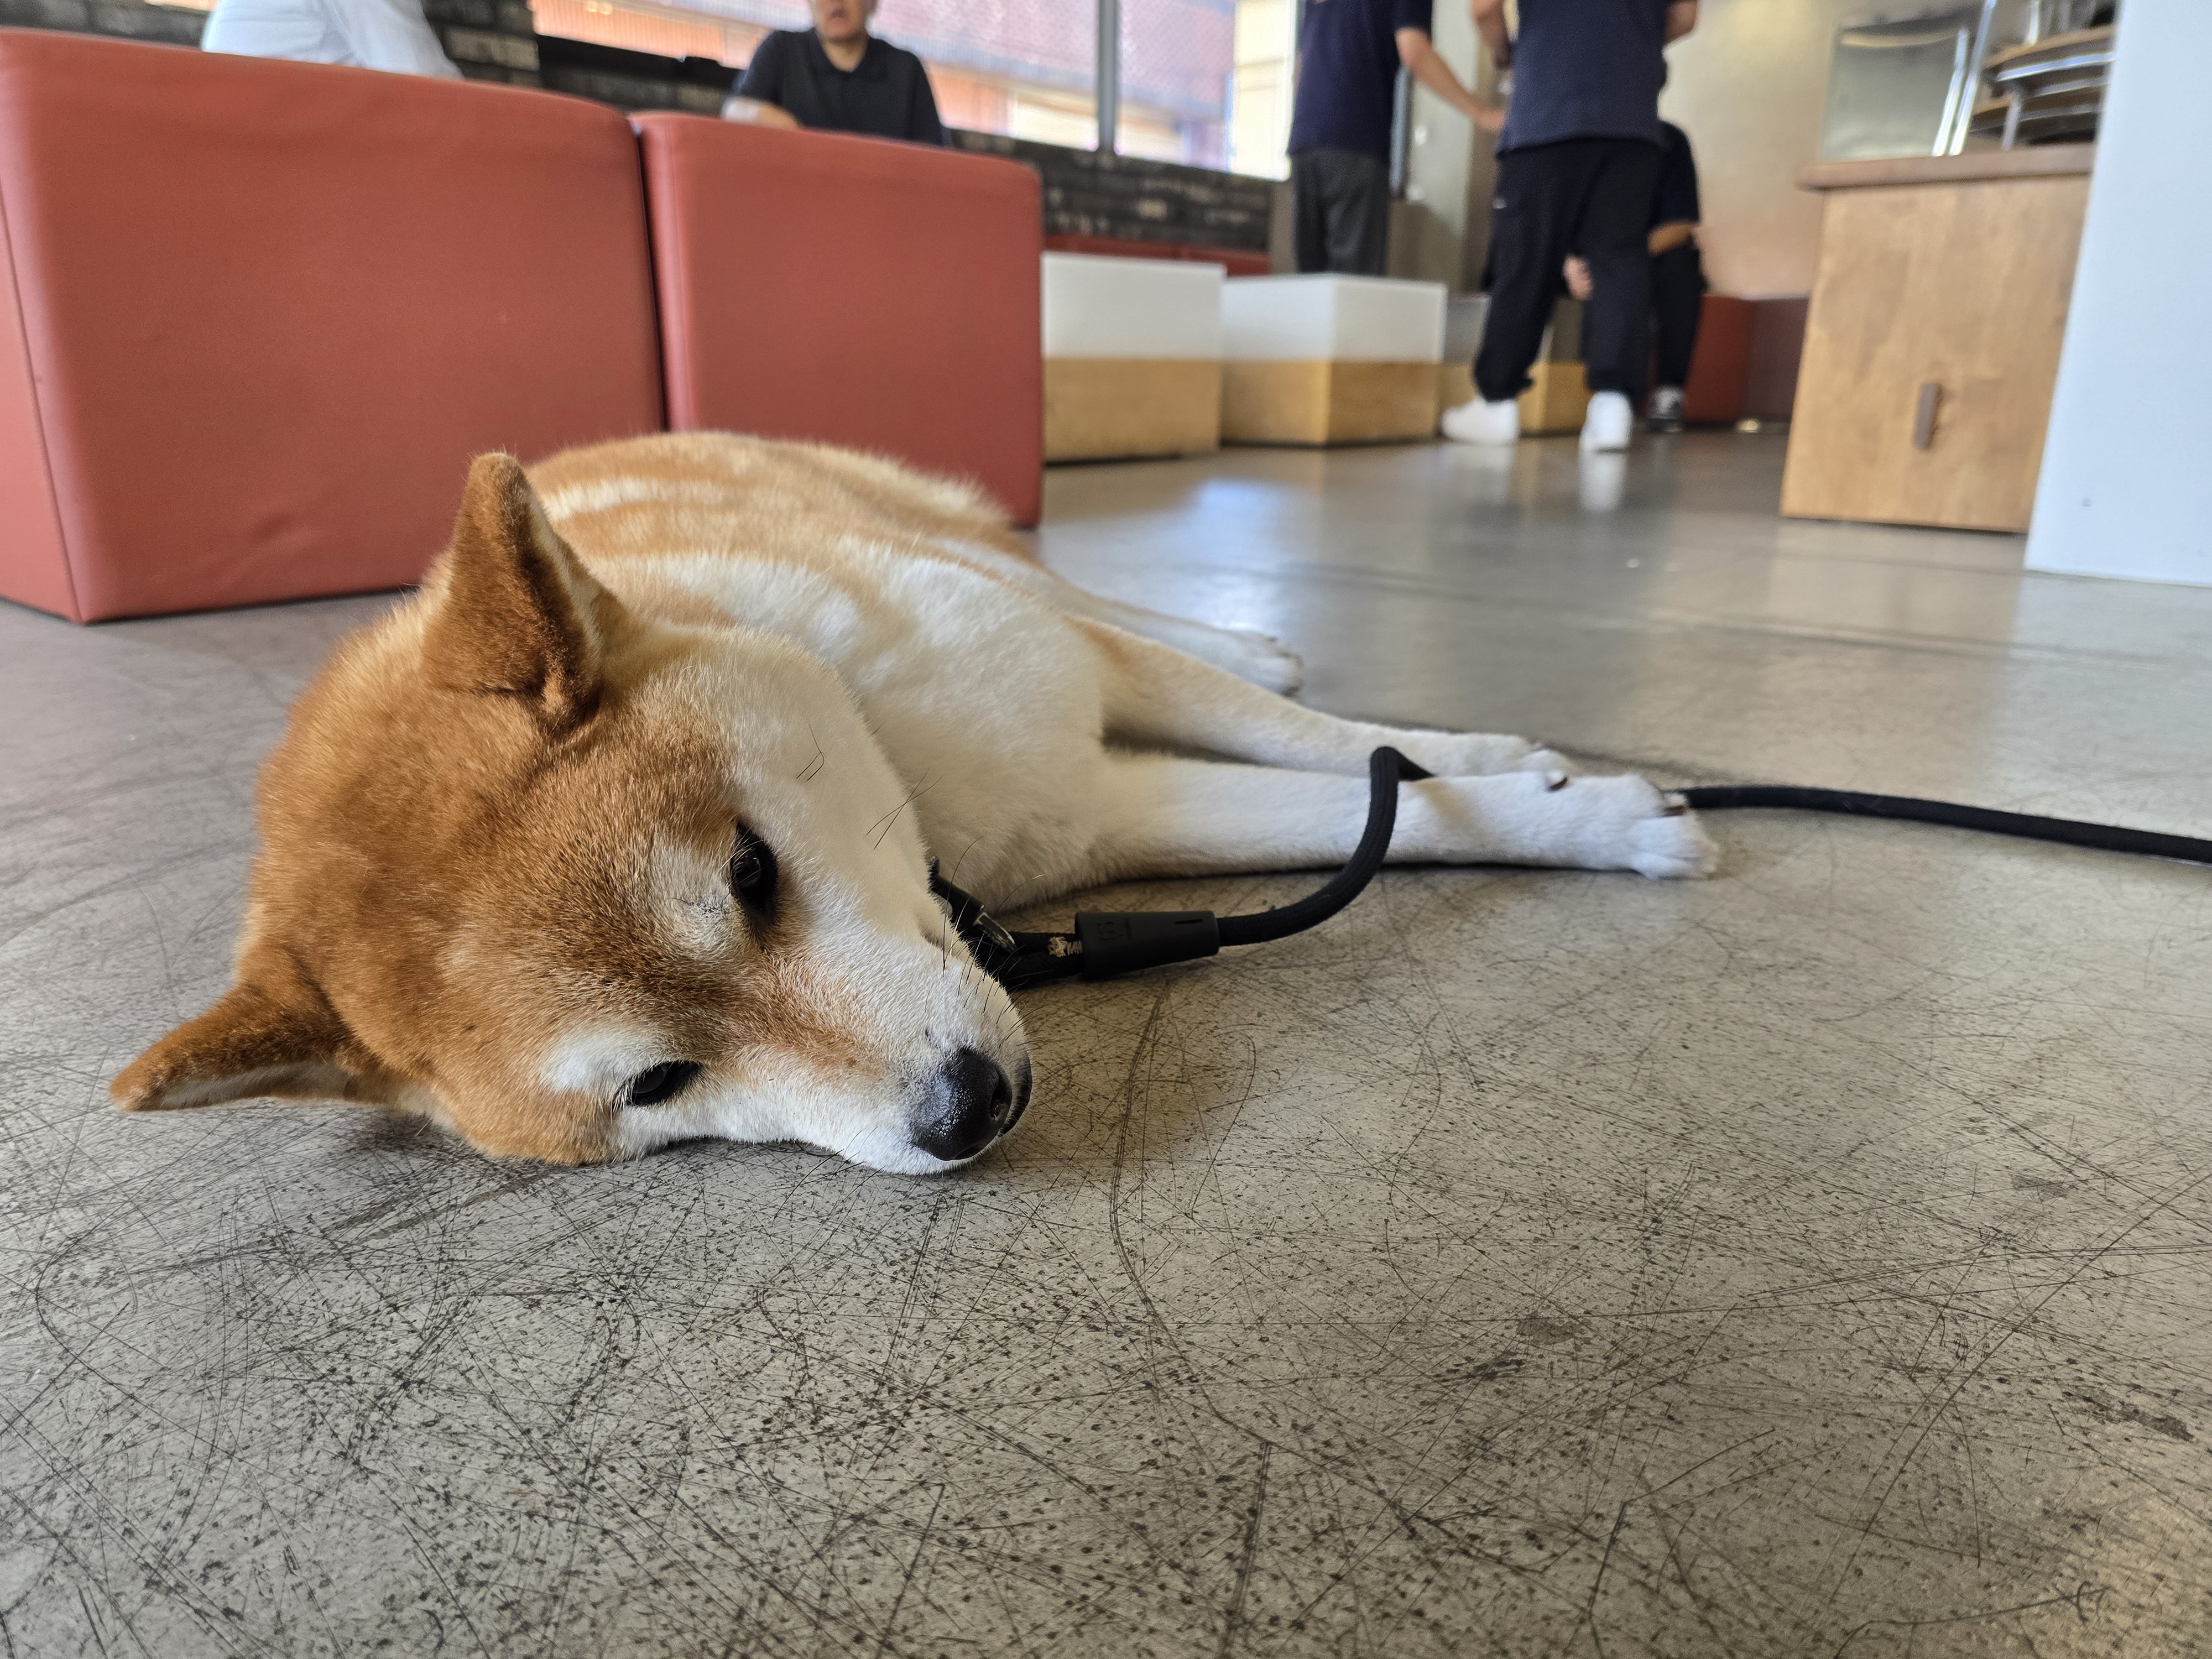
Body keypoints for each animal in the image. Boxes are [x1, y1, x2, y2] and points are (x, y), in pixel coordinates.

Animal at [112, 434, 1716, 1171]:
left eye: (749, 872)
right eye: (656, 1084)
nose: (966, 1108)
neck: (920, 786)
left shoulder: (1064, 686)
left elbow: (1369, 760)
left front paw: (1550, 782)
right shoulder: (1098, 811)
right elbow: (1368, 809)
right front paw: (1558, 803)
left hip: (976, 561)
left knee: (1115, 609)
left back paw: (1254, 638)